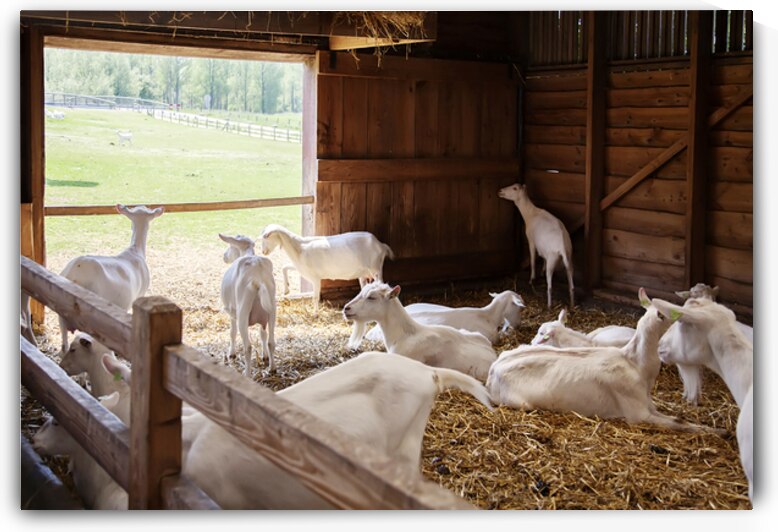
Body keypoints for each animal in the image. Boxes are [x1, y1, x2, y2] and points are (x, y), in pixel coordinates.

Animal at [219, 234, 277, 376]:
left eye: (231, 246)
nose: (224, 256)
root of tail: (257, 278)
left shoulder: (232, 313)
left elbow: (232, 332)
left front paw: (231, 354)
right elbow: (263, 334)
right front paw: (265, 356)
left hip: (243, 312)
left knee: (248, 347)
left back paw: (247, 374)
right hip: (272, 308)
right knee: (271, 341)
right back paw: (272, 368)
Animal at [259, 224, 393, 314]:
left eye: (266, 237)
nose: (263, 252)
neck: (299, 247)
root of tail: (381, 245)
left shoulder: (315, 278)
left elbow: (315, 297)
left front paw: (315, 314)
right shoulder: (301, 268)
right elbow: (284, 267)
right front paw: (286, 290)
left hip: (376, 269)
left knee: (382, 286)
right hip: (364, 273)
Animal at [487, 288, 724, 434]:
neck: (636, 365)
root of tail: (493, 370)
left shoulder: (648, 404)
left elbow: (678, 419)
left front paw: (716, 429)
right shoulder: (637, 413)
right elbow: (679, 423)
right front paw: (719, 432)